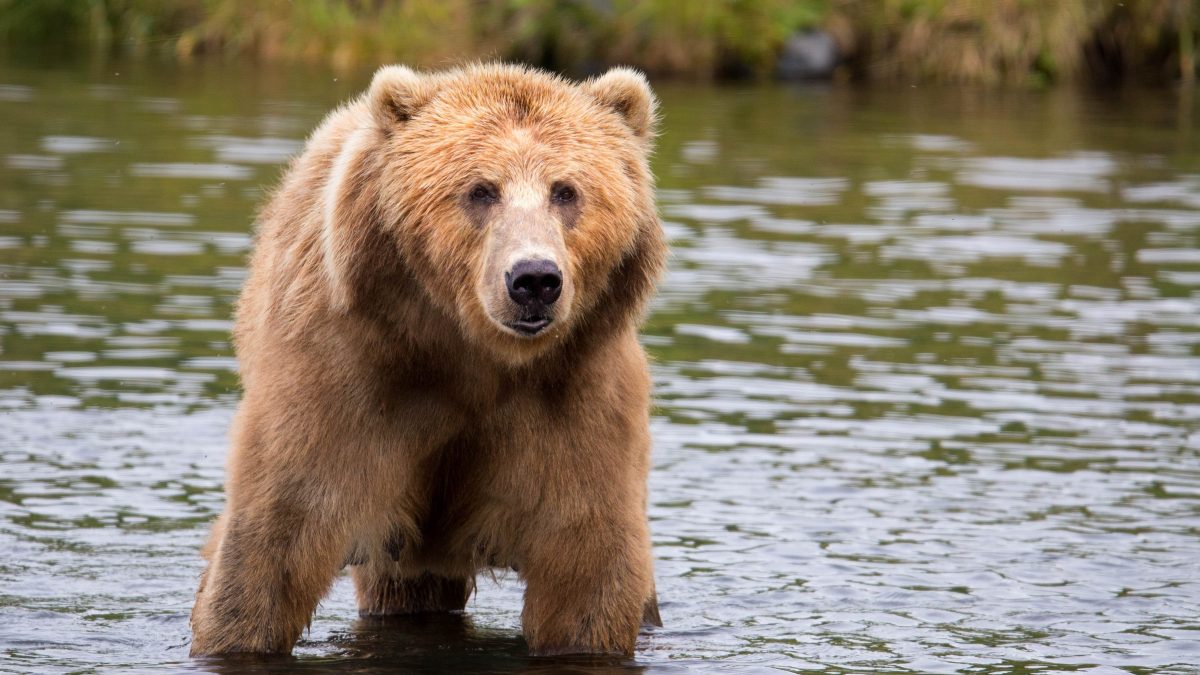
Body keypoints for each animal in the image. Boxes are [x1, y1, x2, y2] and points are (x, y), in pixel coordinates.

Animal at [188, 63, 667, 658]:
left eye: (566, 191)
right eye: (481, 190)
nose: (534, 279)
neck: (470, 354)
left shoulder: (574, 395)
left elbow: (586, 564)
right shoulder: (346, 375)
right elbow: (276, 535)